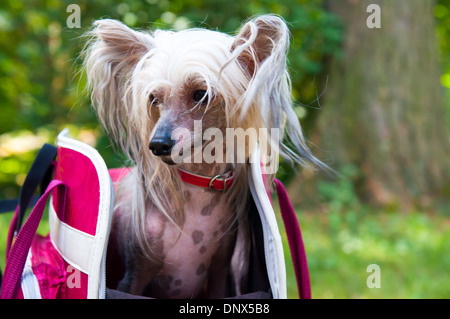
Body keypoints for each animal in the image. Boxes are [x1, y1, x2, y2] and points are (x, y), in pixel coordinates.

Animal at [82, 14, 326, 300]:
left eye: (201, 94)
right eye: (154, 99)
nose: (157, 144)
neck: (197, 188)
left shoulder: (220, 270)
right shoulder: (134, 274)